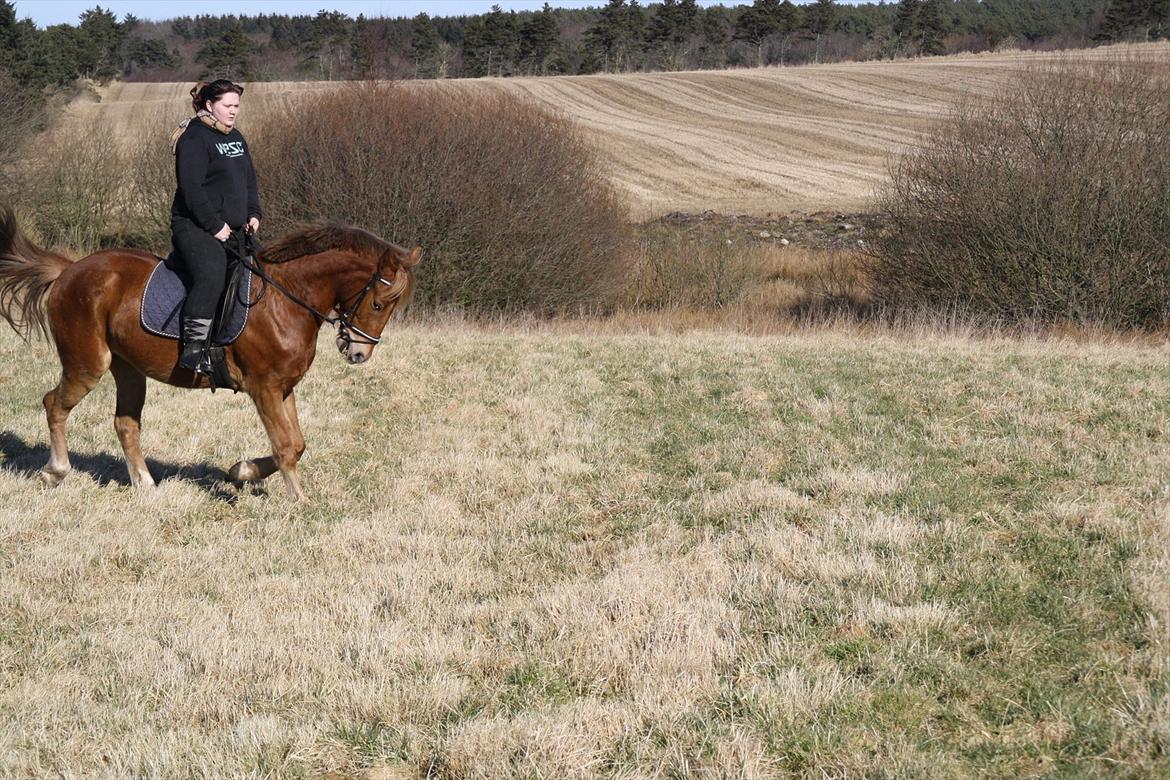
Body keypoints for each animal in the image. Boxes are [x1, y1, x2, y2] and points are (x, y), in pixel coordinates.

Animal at [0, 206, 421, 500]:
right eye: (380, 304)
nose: (358, 354)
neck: (285, 299)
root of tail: (70, 270)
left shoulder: (284, 387)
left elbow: (297, 444)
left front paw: (242, 471)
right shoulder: (264, 388)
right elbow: (286, 446)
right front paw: (299, 501)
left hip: (129, 369)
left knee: (125, 423)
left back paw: (146, 485)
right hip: (87, 363)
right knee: (54, 404)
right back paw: (56, 471)